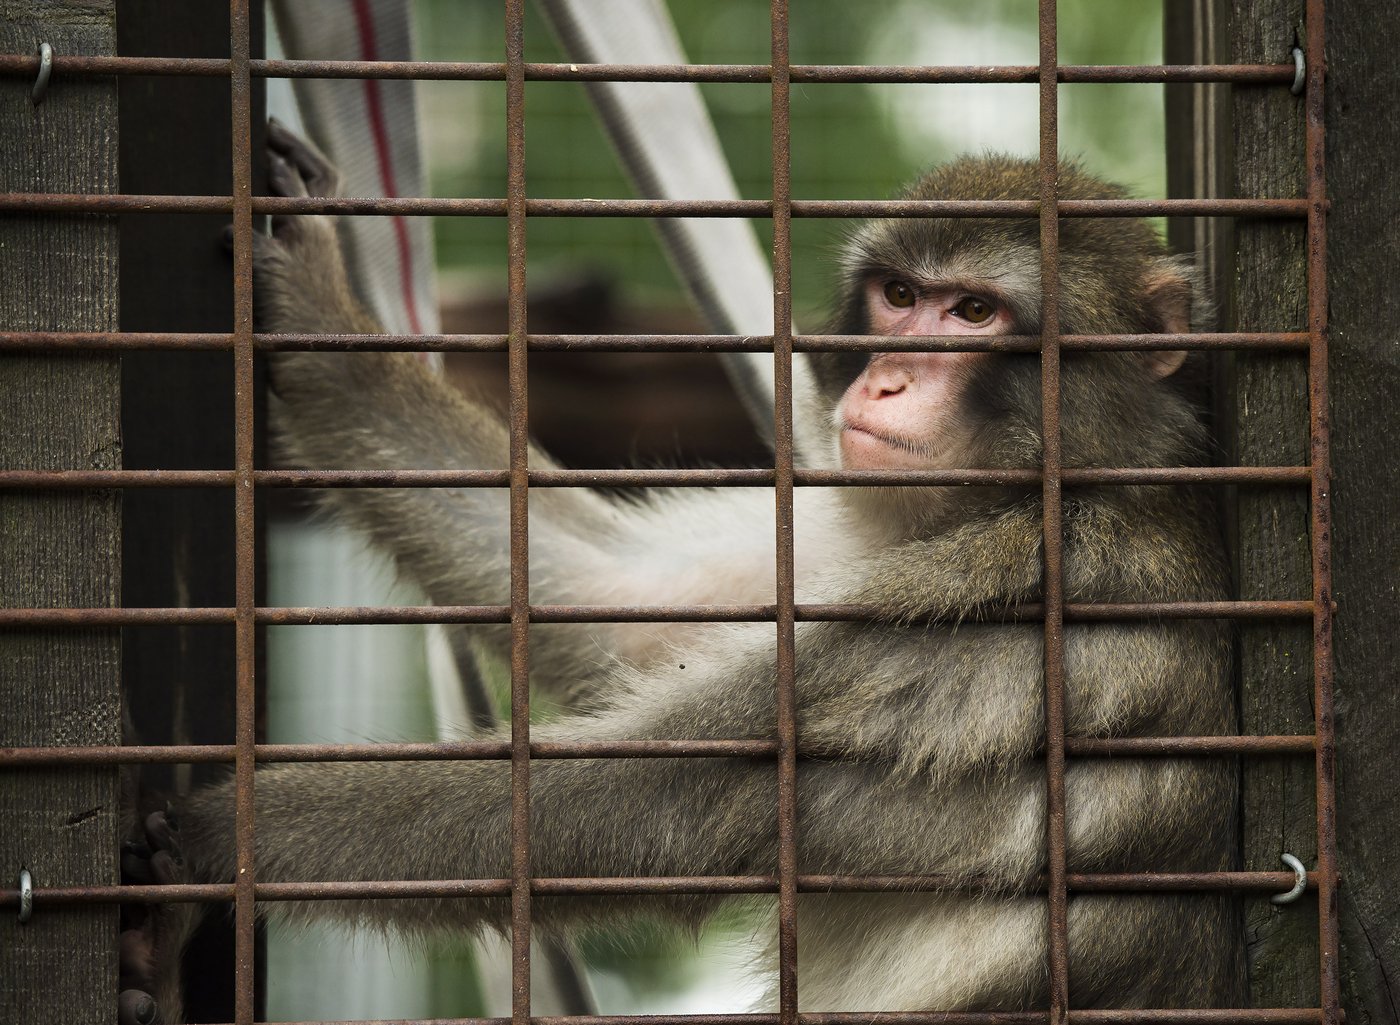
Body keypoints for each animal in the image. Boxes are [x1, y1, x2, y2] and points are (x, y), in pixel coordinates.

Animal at [117, 121, 1237, 1025]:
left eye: (972, 312)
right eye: (900, 296)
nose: (886, 380)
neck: (992, 500)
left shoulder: (999, 600)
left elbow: (639, 797)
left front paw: (214, 842)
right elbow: (615, 599)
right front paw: (312, 295)